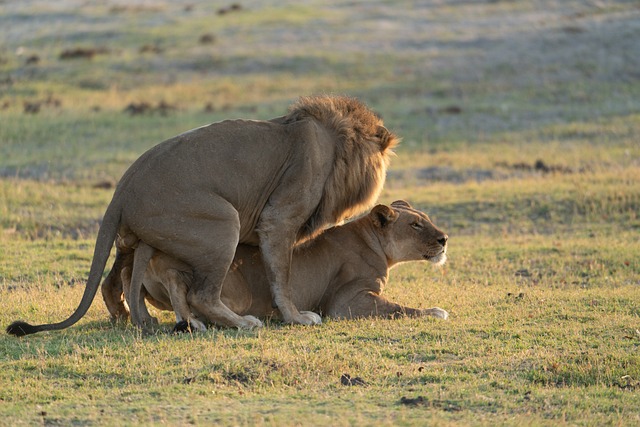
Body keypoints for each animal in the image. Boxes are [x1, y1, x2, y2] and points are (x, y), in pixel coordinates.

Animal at [7, 94, 398, 338]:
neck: (333, 144)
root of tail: (121, 190)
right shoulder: (279, 218)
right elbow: (281, 276)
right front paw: (297, 317)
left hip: (134, 241)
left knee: (112, 282)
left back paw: (132, 318)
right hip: (223, 224)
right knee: (202, 294)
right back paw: (242, 324)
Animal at [111, 201, 450, 328]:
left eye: (425, 219)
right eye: (416, 225)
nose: (445, 238)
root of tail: (153, 247)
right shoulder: (347, 301)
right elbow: (399, 308)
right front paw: (436, 311)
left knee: (130, 276)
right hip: (235, 289)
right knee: (186, 287)